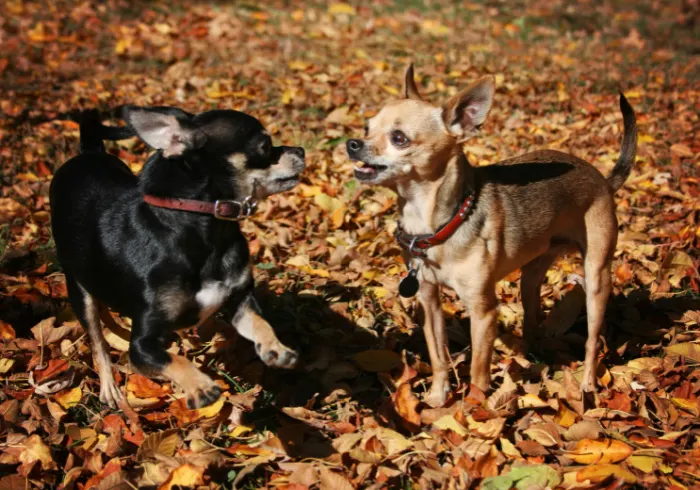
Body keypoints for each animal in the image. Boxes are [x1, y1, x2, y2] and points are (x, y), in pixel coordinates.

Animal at [49, 108, 300, 410]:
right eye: (264, 146)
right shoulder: (142, 347)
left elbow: (260, 323)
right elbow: (171, 360)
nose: (301, 149)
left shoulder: (241, 301)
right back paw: (109, 386)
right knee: (98, 341)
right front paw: (200, 385)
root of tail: (88, 151)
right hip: (78, 288)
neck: (205, 229)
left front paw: (276, 348)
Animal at [348, 66, 636, 410]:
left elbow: (476, 368)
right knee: (532, 323)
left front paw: (472, 409)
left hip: (596, 279)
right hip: (530, 277)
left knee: (593, 340)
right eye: (367, 128)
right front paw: (437, 398)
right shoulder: (429, 301)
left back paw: (588, 385)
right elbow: (438, 355)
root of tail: (603, 180)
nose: (352, 143)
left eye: (399, 138)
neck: (433, 223)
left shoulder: (483, 311)